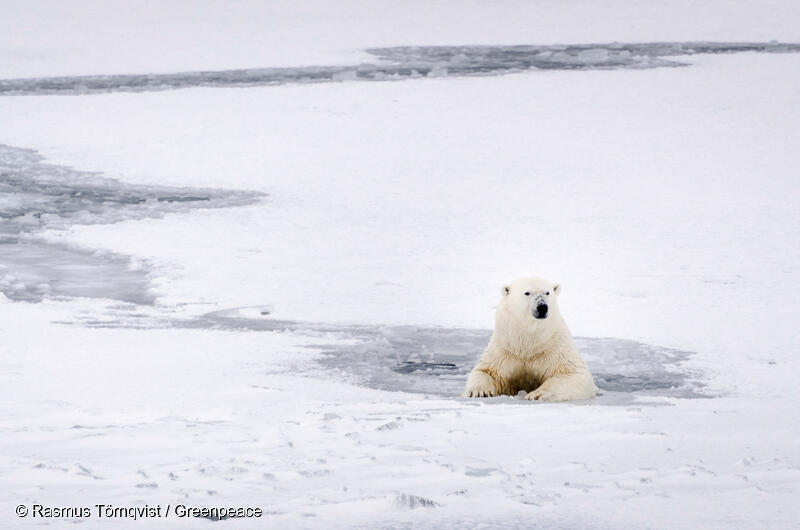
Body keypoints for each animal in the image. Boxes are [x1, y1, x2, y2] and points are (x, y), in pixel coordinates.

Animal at [462, 276, 592, 400]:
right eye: (527, 293)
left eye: (547, 292)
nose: (542, 307)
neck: (528, 343)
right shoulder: (504, 349)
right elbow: (486, 370)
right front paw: (480, 392)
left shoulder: (555, 349)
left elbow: (572, 373)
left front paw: (537, 394)